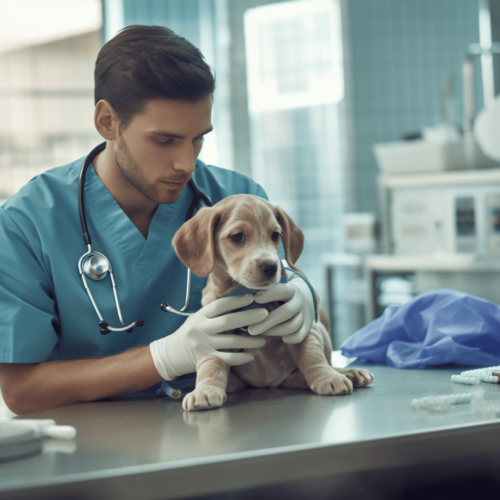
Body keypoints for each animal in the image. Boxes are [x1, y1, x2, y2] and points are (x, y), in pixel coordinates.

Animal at [172, 194, 372, 410]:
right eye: (238, 237)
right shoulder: (212, 334)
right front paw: (205, 389)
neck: (250, 298)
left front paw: (326, 377)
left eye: (275, 236)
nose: (271, 267)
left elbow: (311, 354)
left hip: (319, 328)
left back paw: (346, 372)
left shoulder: (301, 327)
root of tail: (269, 383)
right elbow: (211, 363)